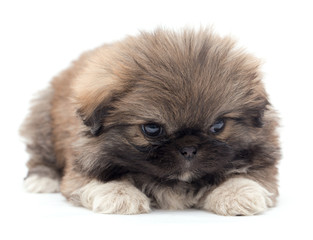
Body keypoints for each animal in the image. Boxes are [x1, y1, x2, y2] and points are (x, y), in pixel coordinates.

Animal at [22, 28, 280, 216]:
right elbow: (98, 179)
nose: (189, 148)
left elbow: (246, 174)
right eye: (152, 129)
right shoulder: (81, 165)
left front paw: (238, 194)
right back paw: (41, 179)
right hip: (42, 122)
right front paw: (119, 194)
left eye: (218, 126)